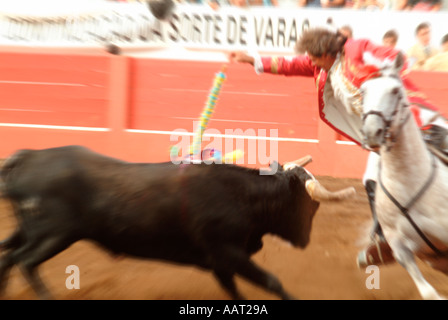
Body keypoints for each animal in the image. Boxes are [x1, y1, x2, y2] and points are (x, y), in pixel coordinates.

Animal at [0, 146, 356, 298]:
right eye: (310, 205)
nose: (304, 240)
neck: (245, 196)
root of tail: (31, 156)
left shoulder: (220, 262)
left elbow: (234, 291)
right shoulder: (228, 253)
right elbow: (272, 282)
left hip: (29, 230)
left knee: (9, 256)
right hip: (55, 234)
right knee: (25, 261)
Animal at [360, 52, 448, 300]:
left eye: (395, 91)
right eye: (363, 91)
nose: (372, 131)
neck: (407, 179)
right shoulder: (400, 247)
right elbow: (428, 292)